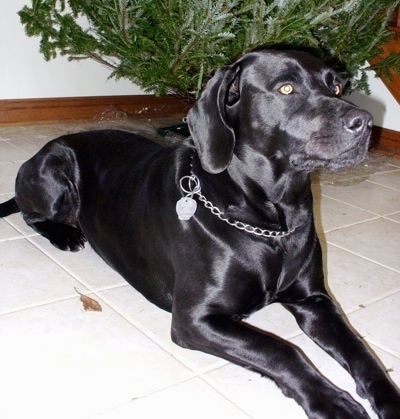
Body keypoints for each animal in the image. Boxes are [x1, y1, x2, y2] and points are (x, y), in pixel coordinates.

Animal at [0, 50, 400, 418]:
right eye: (286, 88)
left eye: (337, 86)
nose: (366, 122)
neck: (273, 223)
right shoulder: (194, 319)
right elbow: (282, 350)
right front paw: (331, 400)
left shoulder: (315, 300)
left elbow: (360, 350)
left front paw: (388, 399)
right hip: (54, 172)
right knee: (30, 215)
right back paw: (64, 234)